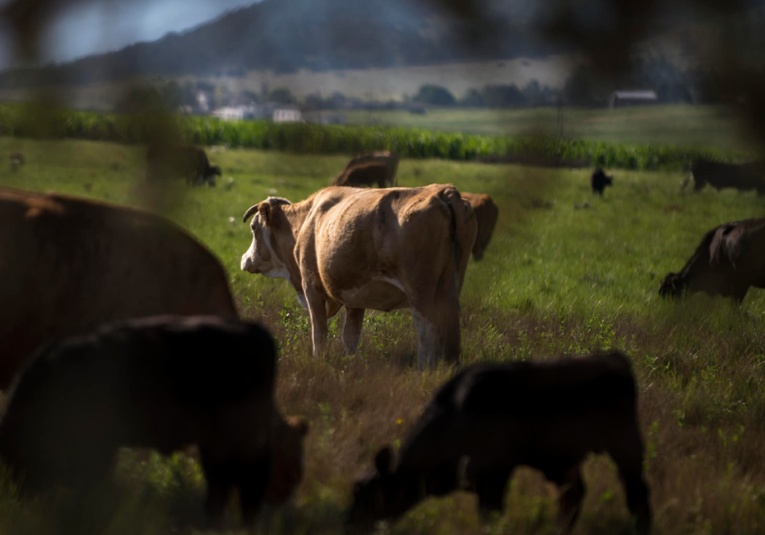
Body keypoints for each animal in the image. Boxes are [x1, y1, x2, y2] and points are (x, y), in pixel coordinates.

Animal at [0, 316, 310, 528]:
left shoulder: (97, 445)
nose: (19, 496)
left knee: (243, 483)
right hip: (215, 444)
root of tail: (257, 333)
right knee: (223, 485)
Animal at [242, 184, 474, 368]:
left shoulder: (311, 288)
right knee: (450, 331)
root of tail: (444, 191)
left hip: (421, 293)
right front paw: (349, 365)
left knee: (428, 332)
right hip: (449, 290)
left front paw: (318, 363)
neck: (305, 222)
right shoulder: (355, 298)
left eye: (253, 227)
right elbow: (350, 337)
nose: (245, 259)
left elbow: (319, 334)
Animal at [346, 352, 652, 535]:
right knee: (573, 496)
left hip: (626, 444)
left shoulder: (495, 477)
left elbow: (489, 517)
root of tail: (614, 359)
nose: (348, 524)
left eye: (368, 492)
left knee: (636, 492)